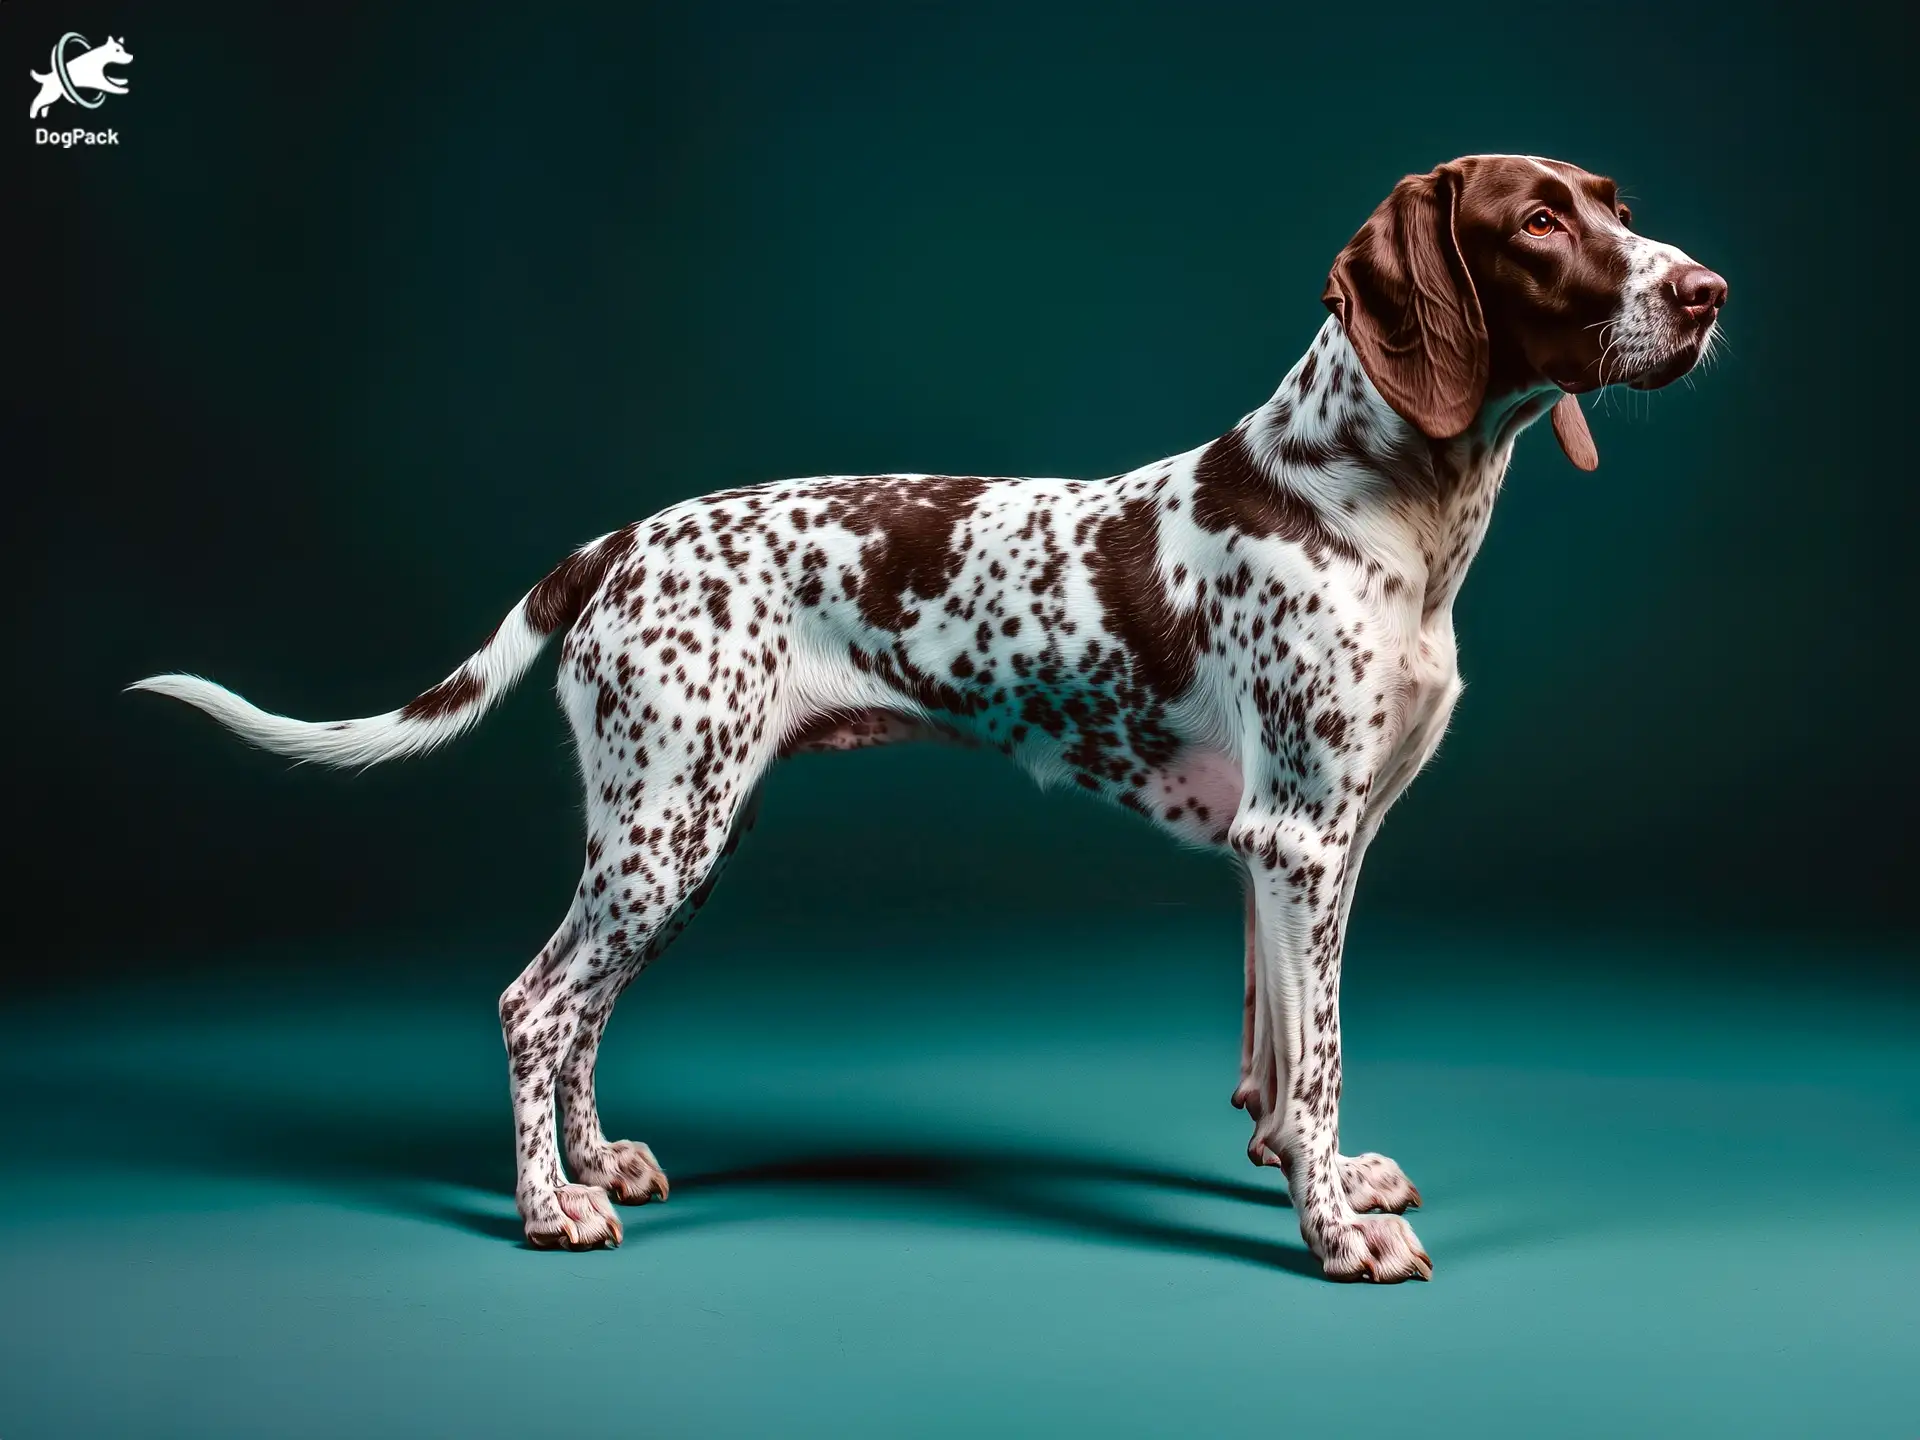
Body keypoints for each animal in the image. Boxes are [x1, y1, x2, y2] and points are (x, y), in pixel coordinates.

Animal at [135, 155, 1728, 1282]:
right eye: (1540, 222)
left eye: (1620, 209)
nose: (1709, 291)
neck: (1372, 497)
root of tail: (616, 544)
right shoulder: (1302, 844)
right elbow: (1320, 1062)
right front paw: (1338, 1235)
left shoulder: (1291, 855)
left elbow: (1279, 1066)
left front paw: (1313, 1180)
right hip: (666, 835)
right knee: (538, 1005)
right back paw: (547, 1210)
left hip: (668, 830)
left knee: (580, 1015)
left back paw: (596, 1166)